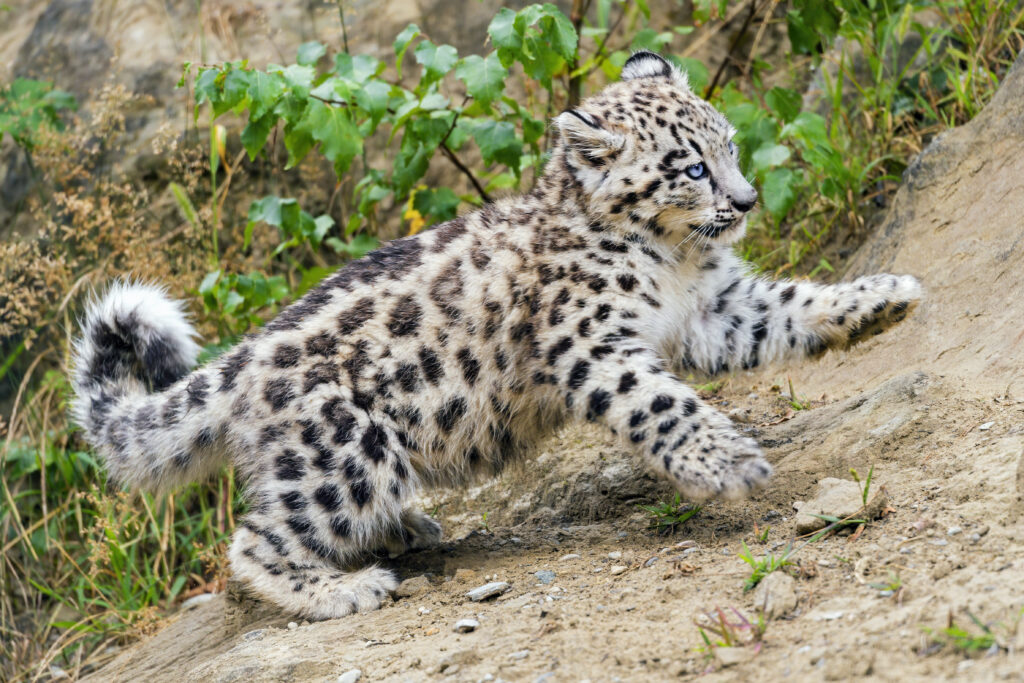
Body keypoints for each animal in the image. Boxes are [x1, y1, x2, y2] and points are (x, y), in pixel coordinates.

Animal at [69, 51, 921, 620]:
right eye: (690, 168)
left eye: (730, 146)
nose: (744, 201)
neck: (677, 261)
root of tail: (240, 361)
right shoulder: (592, 345)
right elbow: (662, 402)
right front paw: (731, 463)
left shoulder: (717, 309)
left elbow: (790, 305)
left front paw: (884, 297)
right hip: (344, 453)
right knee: (256, 540)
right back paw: (346, 586)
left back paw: (406, 530)